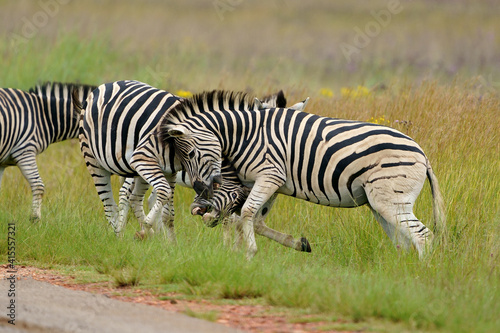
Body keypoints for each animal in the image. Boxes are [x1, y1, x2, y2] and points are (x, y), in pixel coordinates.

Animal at [156, 89, 446, 258]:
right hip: (380, 203)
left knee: (423, 236)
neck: (246, 134)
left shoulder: (269, 175)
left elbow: (245, 214)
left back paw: (420, 277)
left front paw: (246, 254)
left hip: (390, 200)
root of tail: (422, 154)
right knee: (404, 241)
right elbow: (252, 219)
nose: (199, 200)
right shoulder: (268, 181)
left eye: (190, 154)